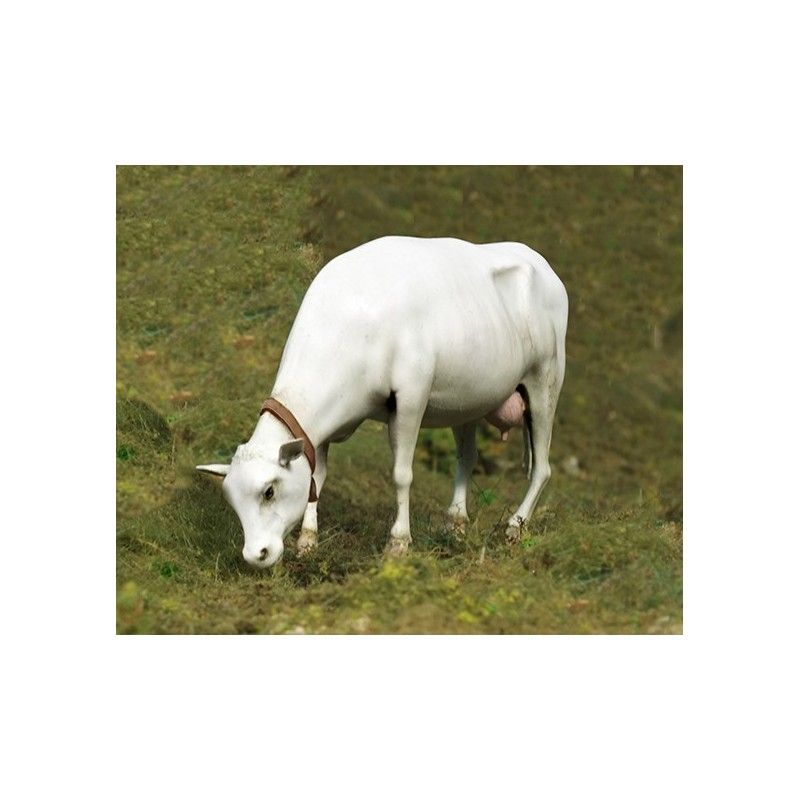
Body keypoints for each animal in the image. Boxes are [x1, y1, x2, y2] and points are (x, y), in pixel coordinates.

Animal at [197, 236, 568, 568]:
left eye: (269, 491)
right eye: (231, 500)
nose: (254, 555)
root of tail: (536, 258)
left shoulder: (411, 395)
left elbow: (401, 474)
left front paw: (399, 543)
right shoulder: (320, 428)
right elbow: (318, 476)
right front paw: (308, 541)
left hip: (546, 380)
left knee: (542, 468)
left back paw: (515, 528)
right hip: (467, 400)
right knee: (467, 458)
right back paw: (456, 524)